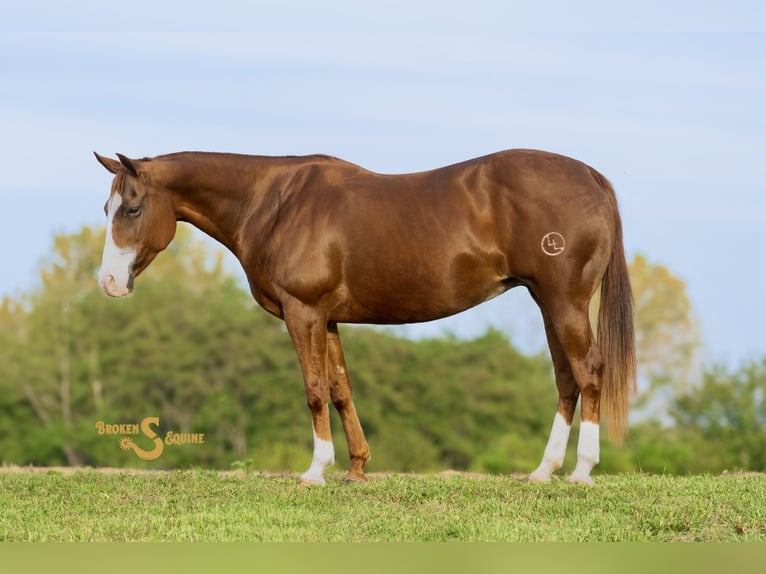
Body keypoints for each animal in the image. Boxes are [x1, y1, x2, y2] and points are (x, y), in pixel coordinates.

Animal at [94, 148, 636, 486]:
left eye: (133, 209)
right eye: (106, 207)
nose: (109, 282)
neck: (274, 204)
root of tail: (590, 176)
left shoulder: (303, 312)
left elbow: (314, 389)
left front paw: (315, 471)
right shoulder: (328, 319)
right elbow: (340, 389)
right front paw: (355, 469)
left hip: (564, 301)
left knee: (589, 372)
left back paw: (582, 471)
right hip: (548, 303)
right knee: (566, 380)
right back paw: (543, 472)